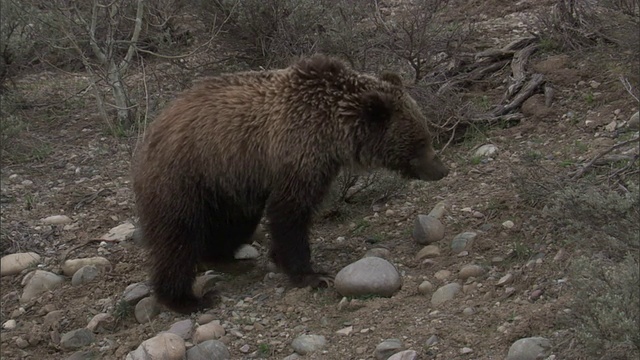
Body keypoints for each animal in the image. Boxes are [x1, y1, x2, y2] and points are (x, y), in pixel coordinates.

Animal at [131, 54, 450, 316]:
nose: (442, 170)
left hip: (229, 186)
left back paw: (228, 260)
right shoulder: (298, 153)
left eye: (426, 134)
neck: (333, 131)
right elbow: (291, 212)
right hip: (187, 177)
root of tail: (152, 130)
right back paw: (186, 299)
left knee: (234, 223)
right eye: (421, 142)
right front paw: (312, 274)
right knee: (177, 238)